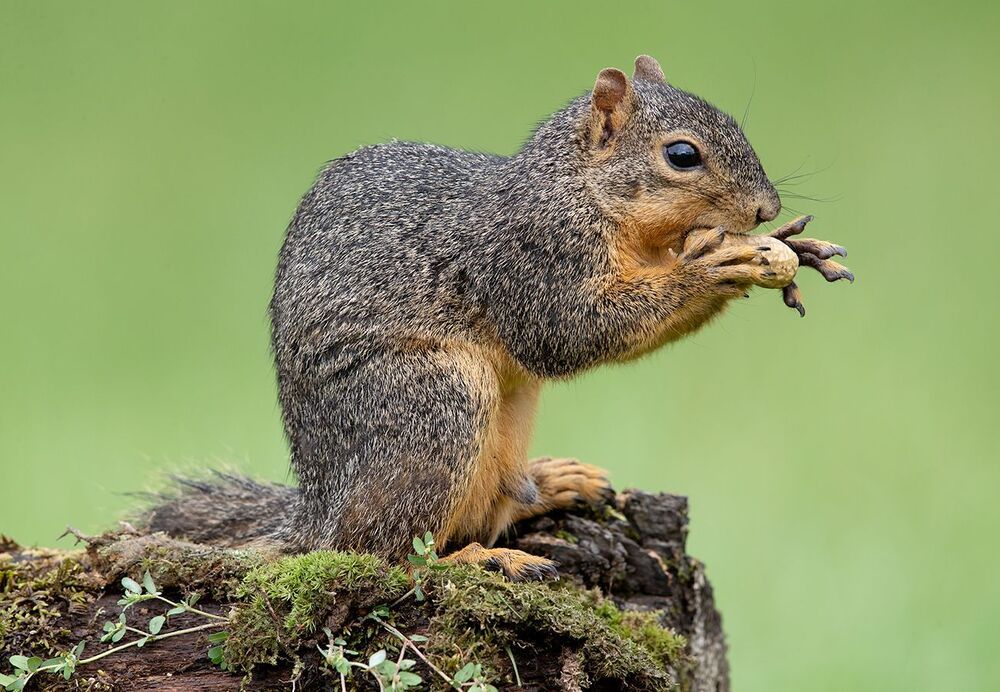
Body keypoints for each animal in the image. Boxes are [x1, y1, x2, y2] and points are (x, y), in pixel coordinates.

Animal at [146, 55, 850, 580]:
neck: (579, 191)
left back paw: (548, 482)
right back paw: (479, 560)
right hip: (432, 406)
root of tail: (315, 511)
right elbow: (570, 333)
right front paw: (714, 266)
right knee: (382, 552)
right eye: (682, 155)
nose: (765, 209)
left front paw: (792, 245)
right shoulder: (534, 261)